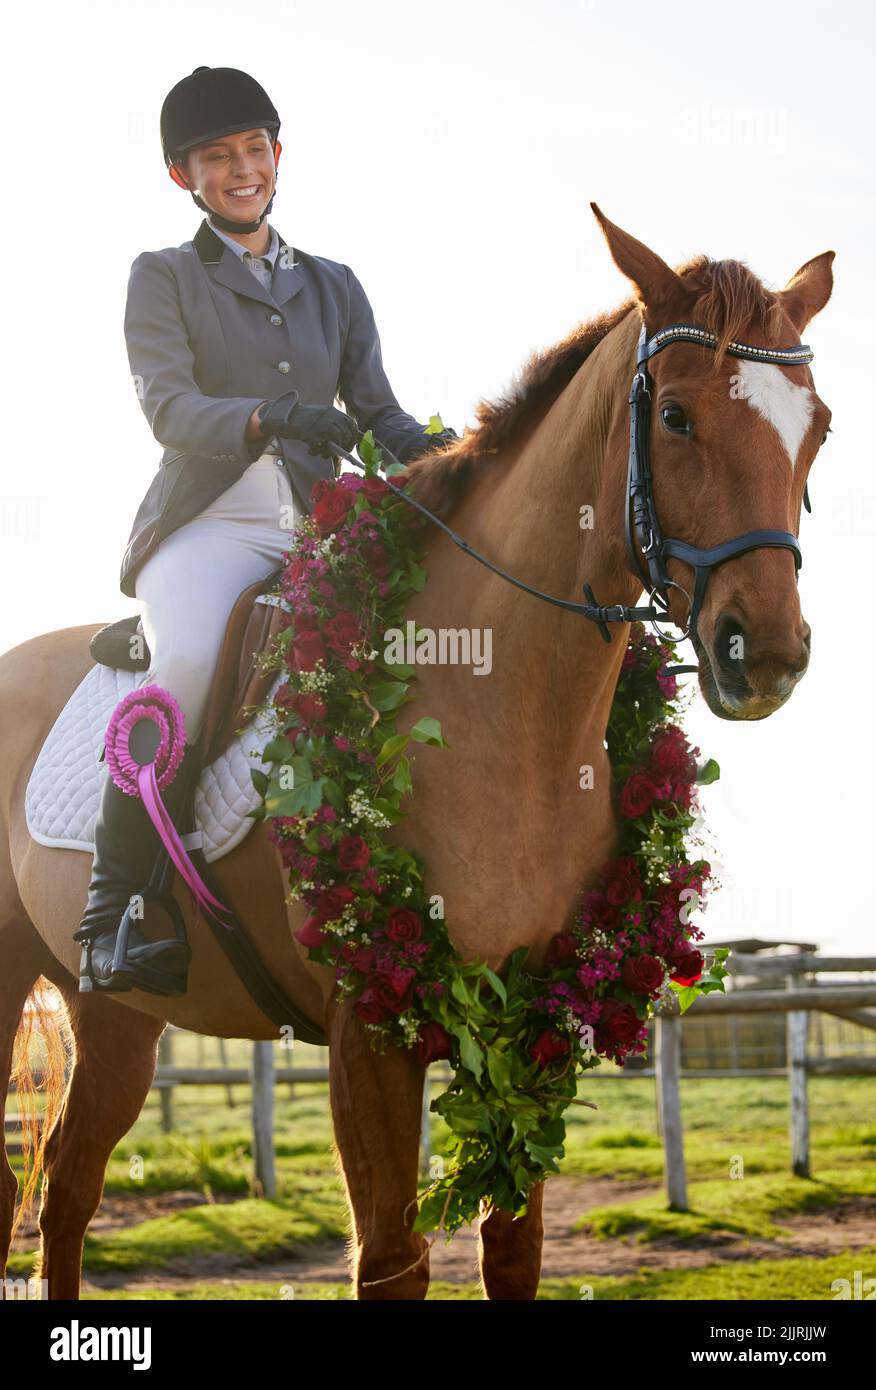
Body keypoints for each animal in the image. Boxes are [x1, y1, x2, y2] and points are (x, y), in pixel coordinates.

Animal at [0, 205, 839, 1301]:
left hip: (122, 1016)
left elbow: (513, 1251)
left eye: (817, 427)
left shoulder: (539, 1009)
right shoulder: (367, 1032)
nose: (766, 654)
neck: (499, 713)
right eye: (678, 417)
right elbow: (393, 1262)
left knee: (67, 1188)